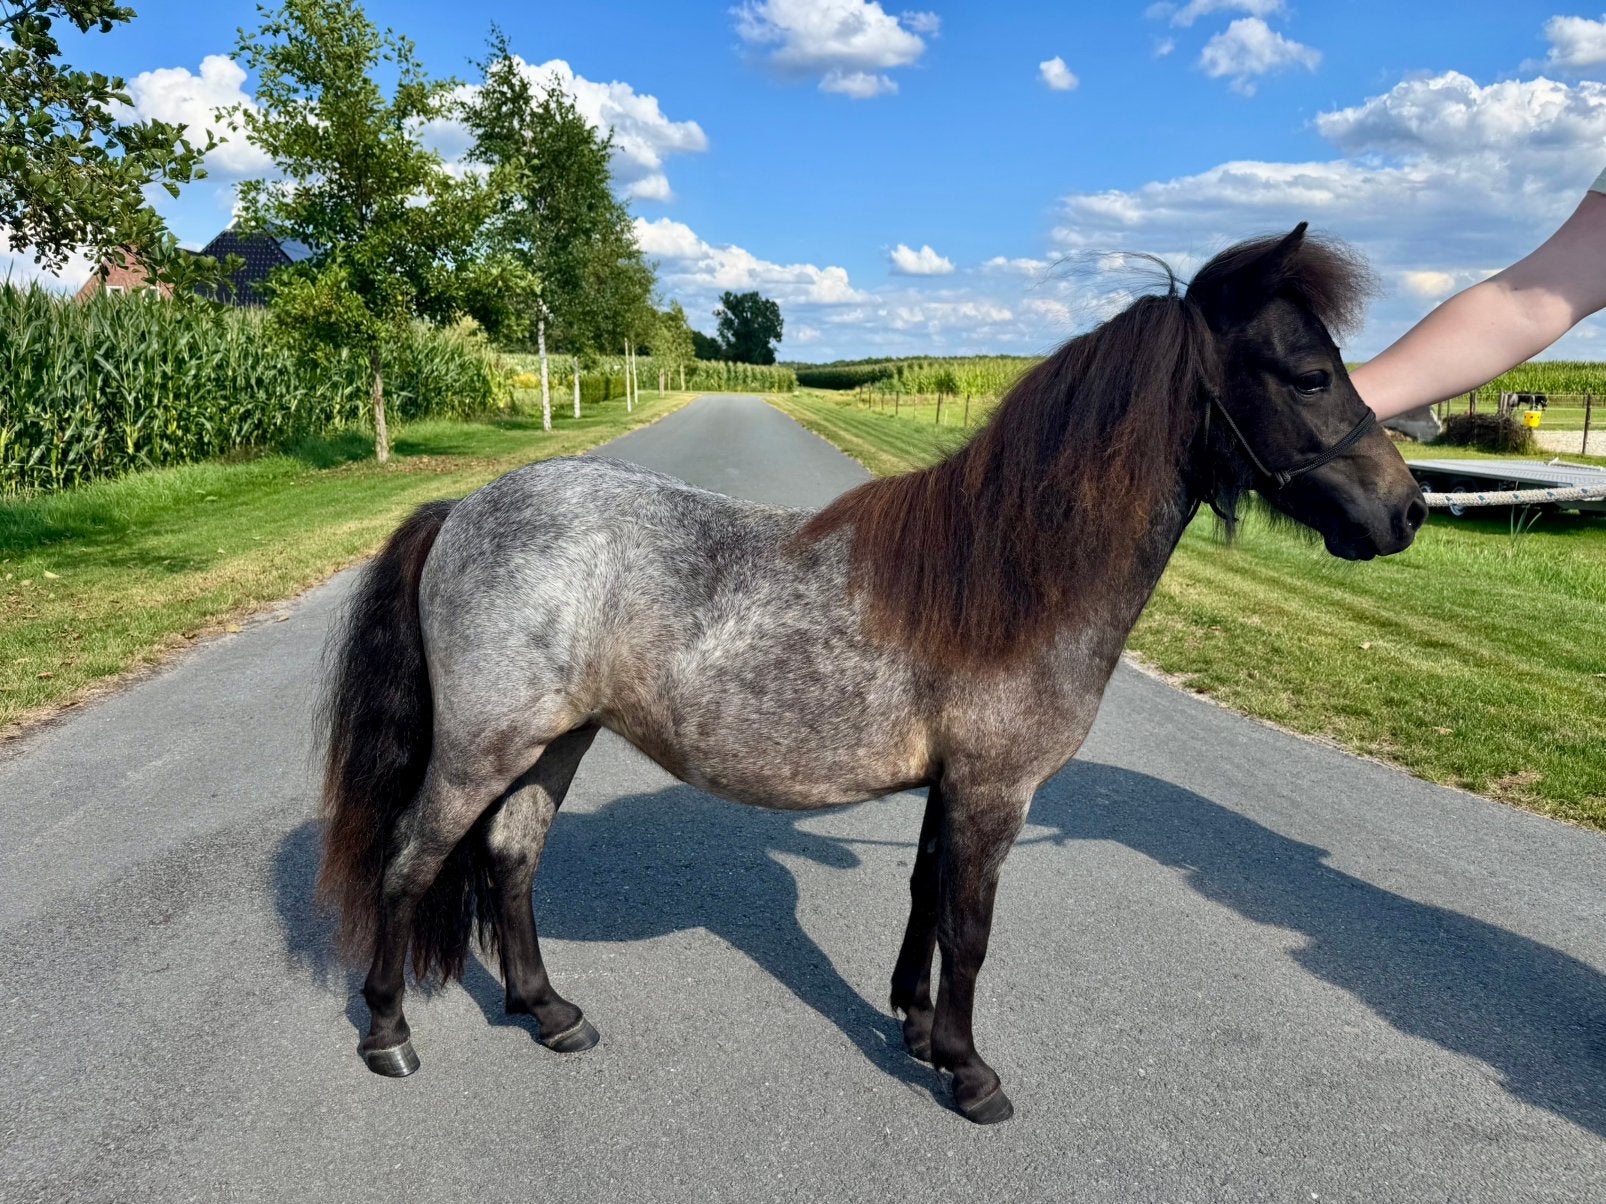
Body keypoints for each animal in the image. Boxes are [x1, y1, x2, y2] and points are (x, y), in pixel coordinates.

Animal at [316, 223, 1427, 1125]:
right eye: (1309, 373)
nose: (1407, 509)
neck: (1014, 572)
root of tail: (463, 509)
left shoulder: (951, 787)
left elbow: (924, 895)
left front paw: (920, 1032)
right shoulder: (993, 790)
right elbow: (969, 928)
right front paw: (972, 1075)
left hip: (557, 739)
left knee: (511, 860)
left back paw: (549, 1012)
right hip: (482, 745)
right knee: (410, 861)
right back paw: (388, 1035)